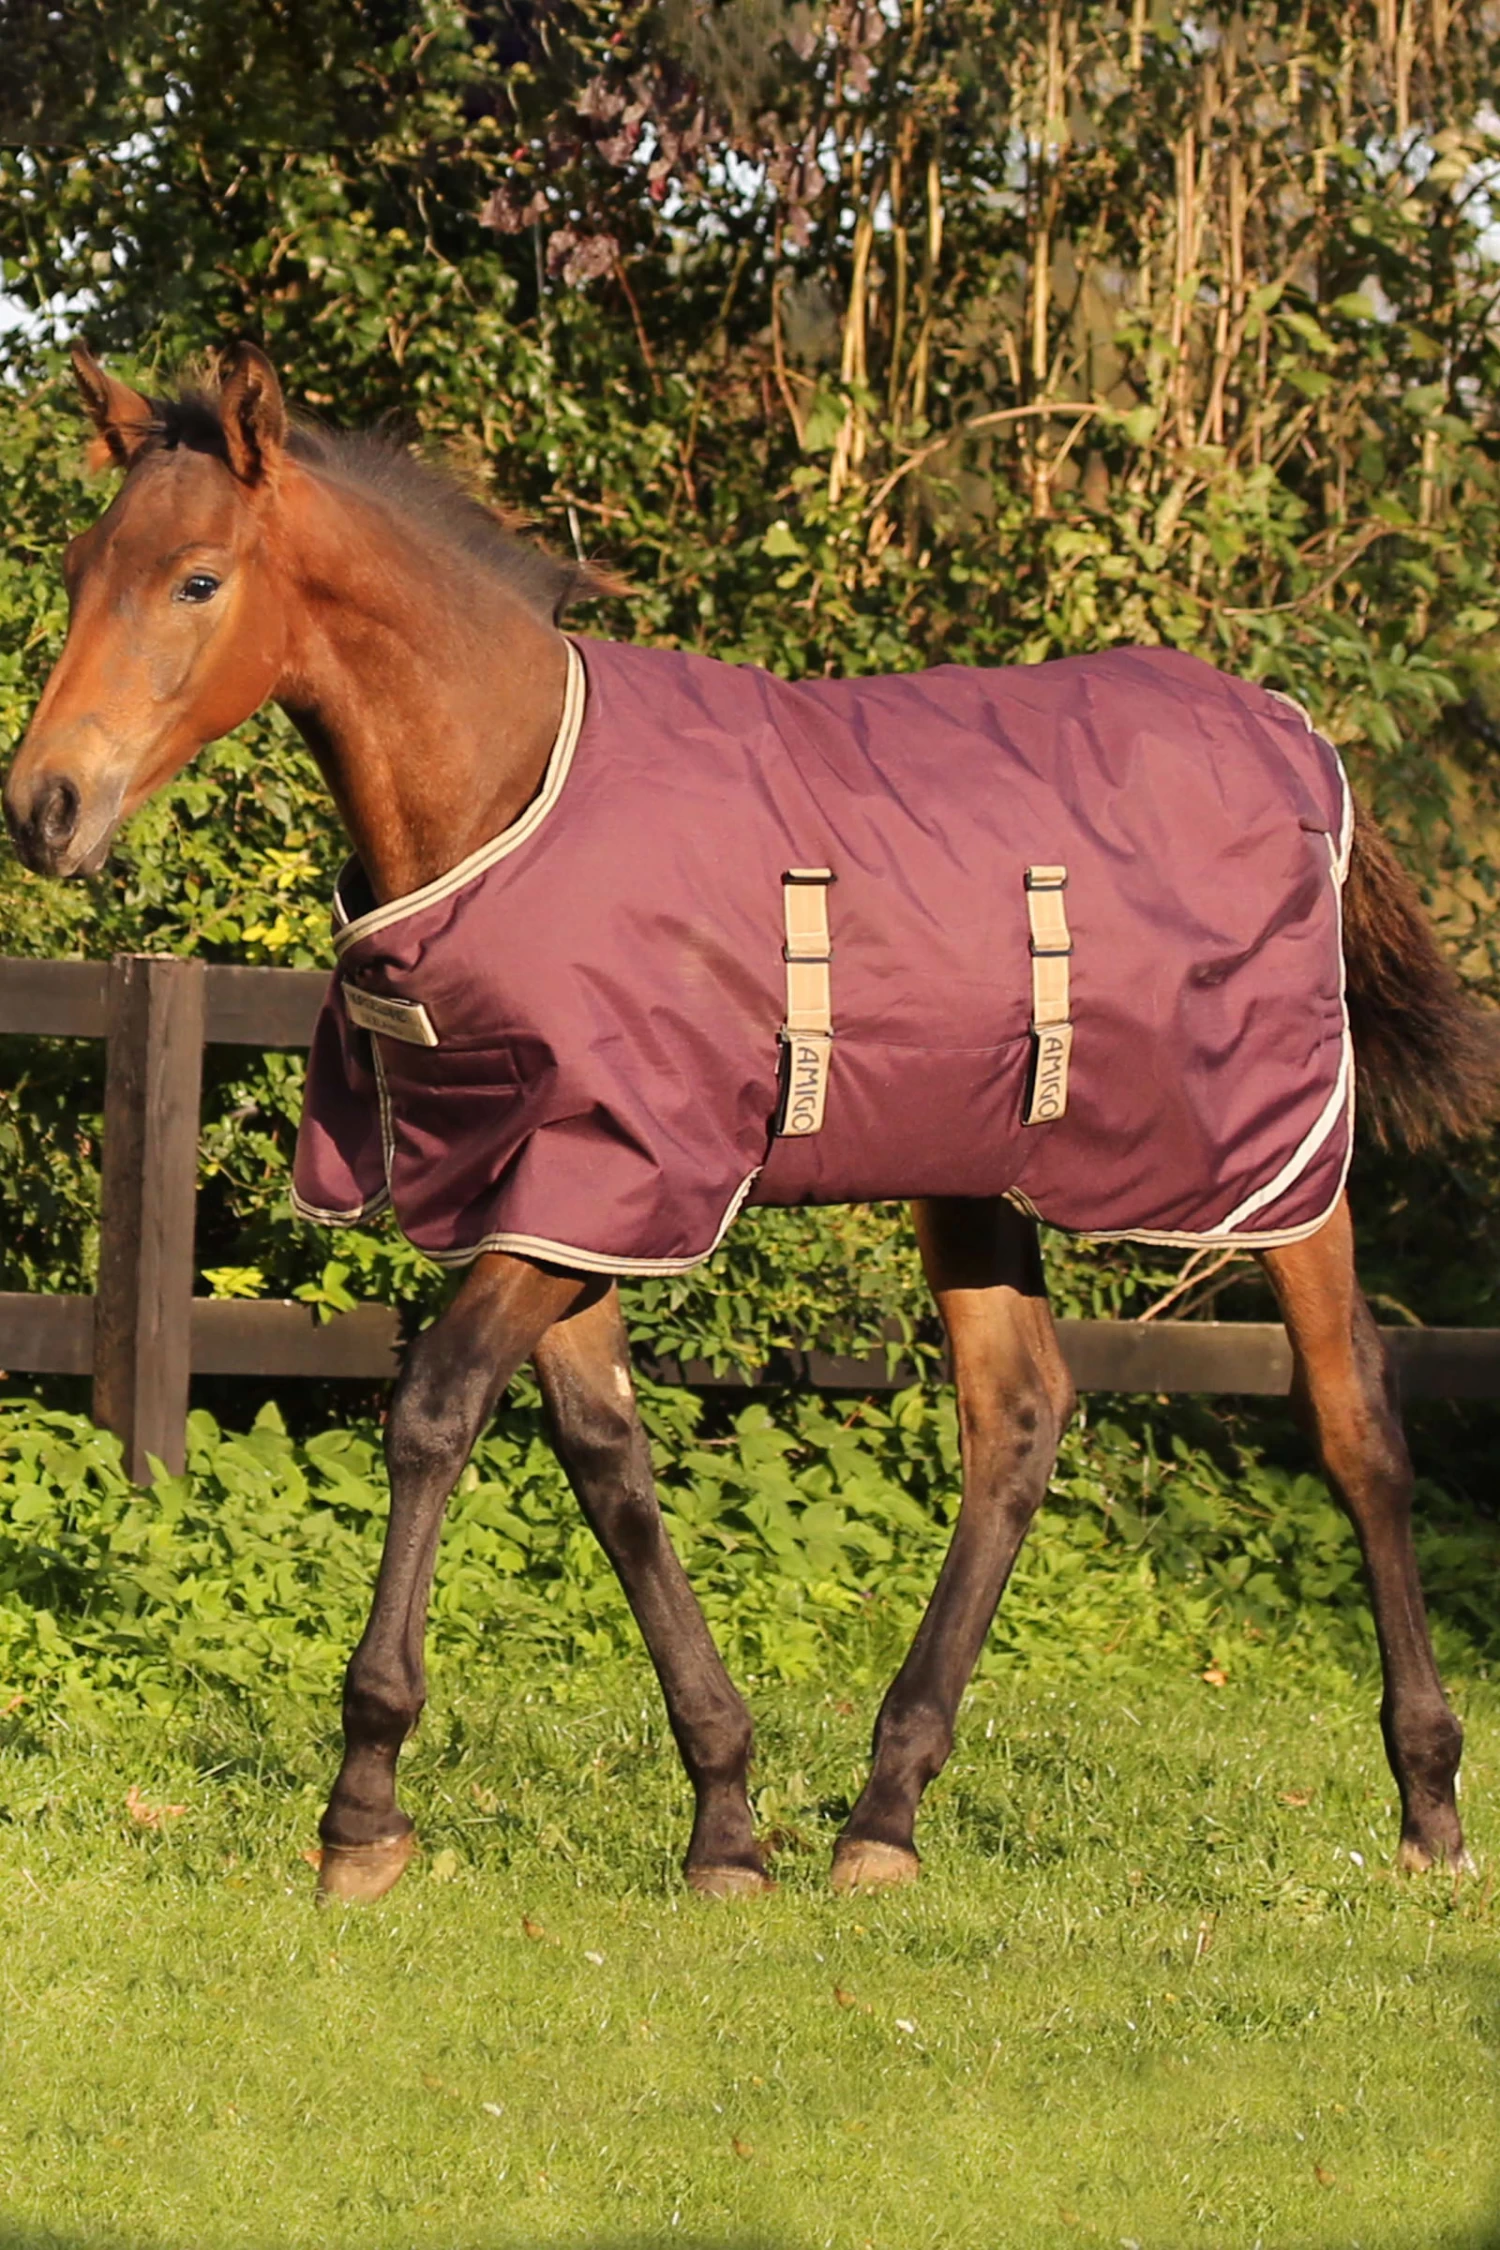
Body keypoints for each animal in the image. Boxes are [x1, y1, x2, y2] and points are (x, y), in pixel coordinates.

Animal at [5, 341, 1492, 1907]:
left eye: (198, 580)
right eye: (79, 564)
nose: (44, 807)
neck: (508, 789)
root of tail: (1294, 736)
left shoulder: (613, 1177)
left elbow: (435, 1410)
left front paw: (364, 1809)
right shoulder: (552, 1198)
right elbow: (609, 1463)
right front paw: (727, 1814)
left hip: (1275, 1164)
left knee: (1355, 1421)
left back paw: (1429, 1803)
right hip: (971, 1173)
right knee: (1018, 1419)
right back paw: (884, 1813)